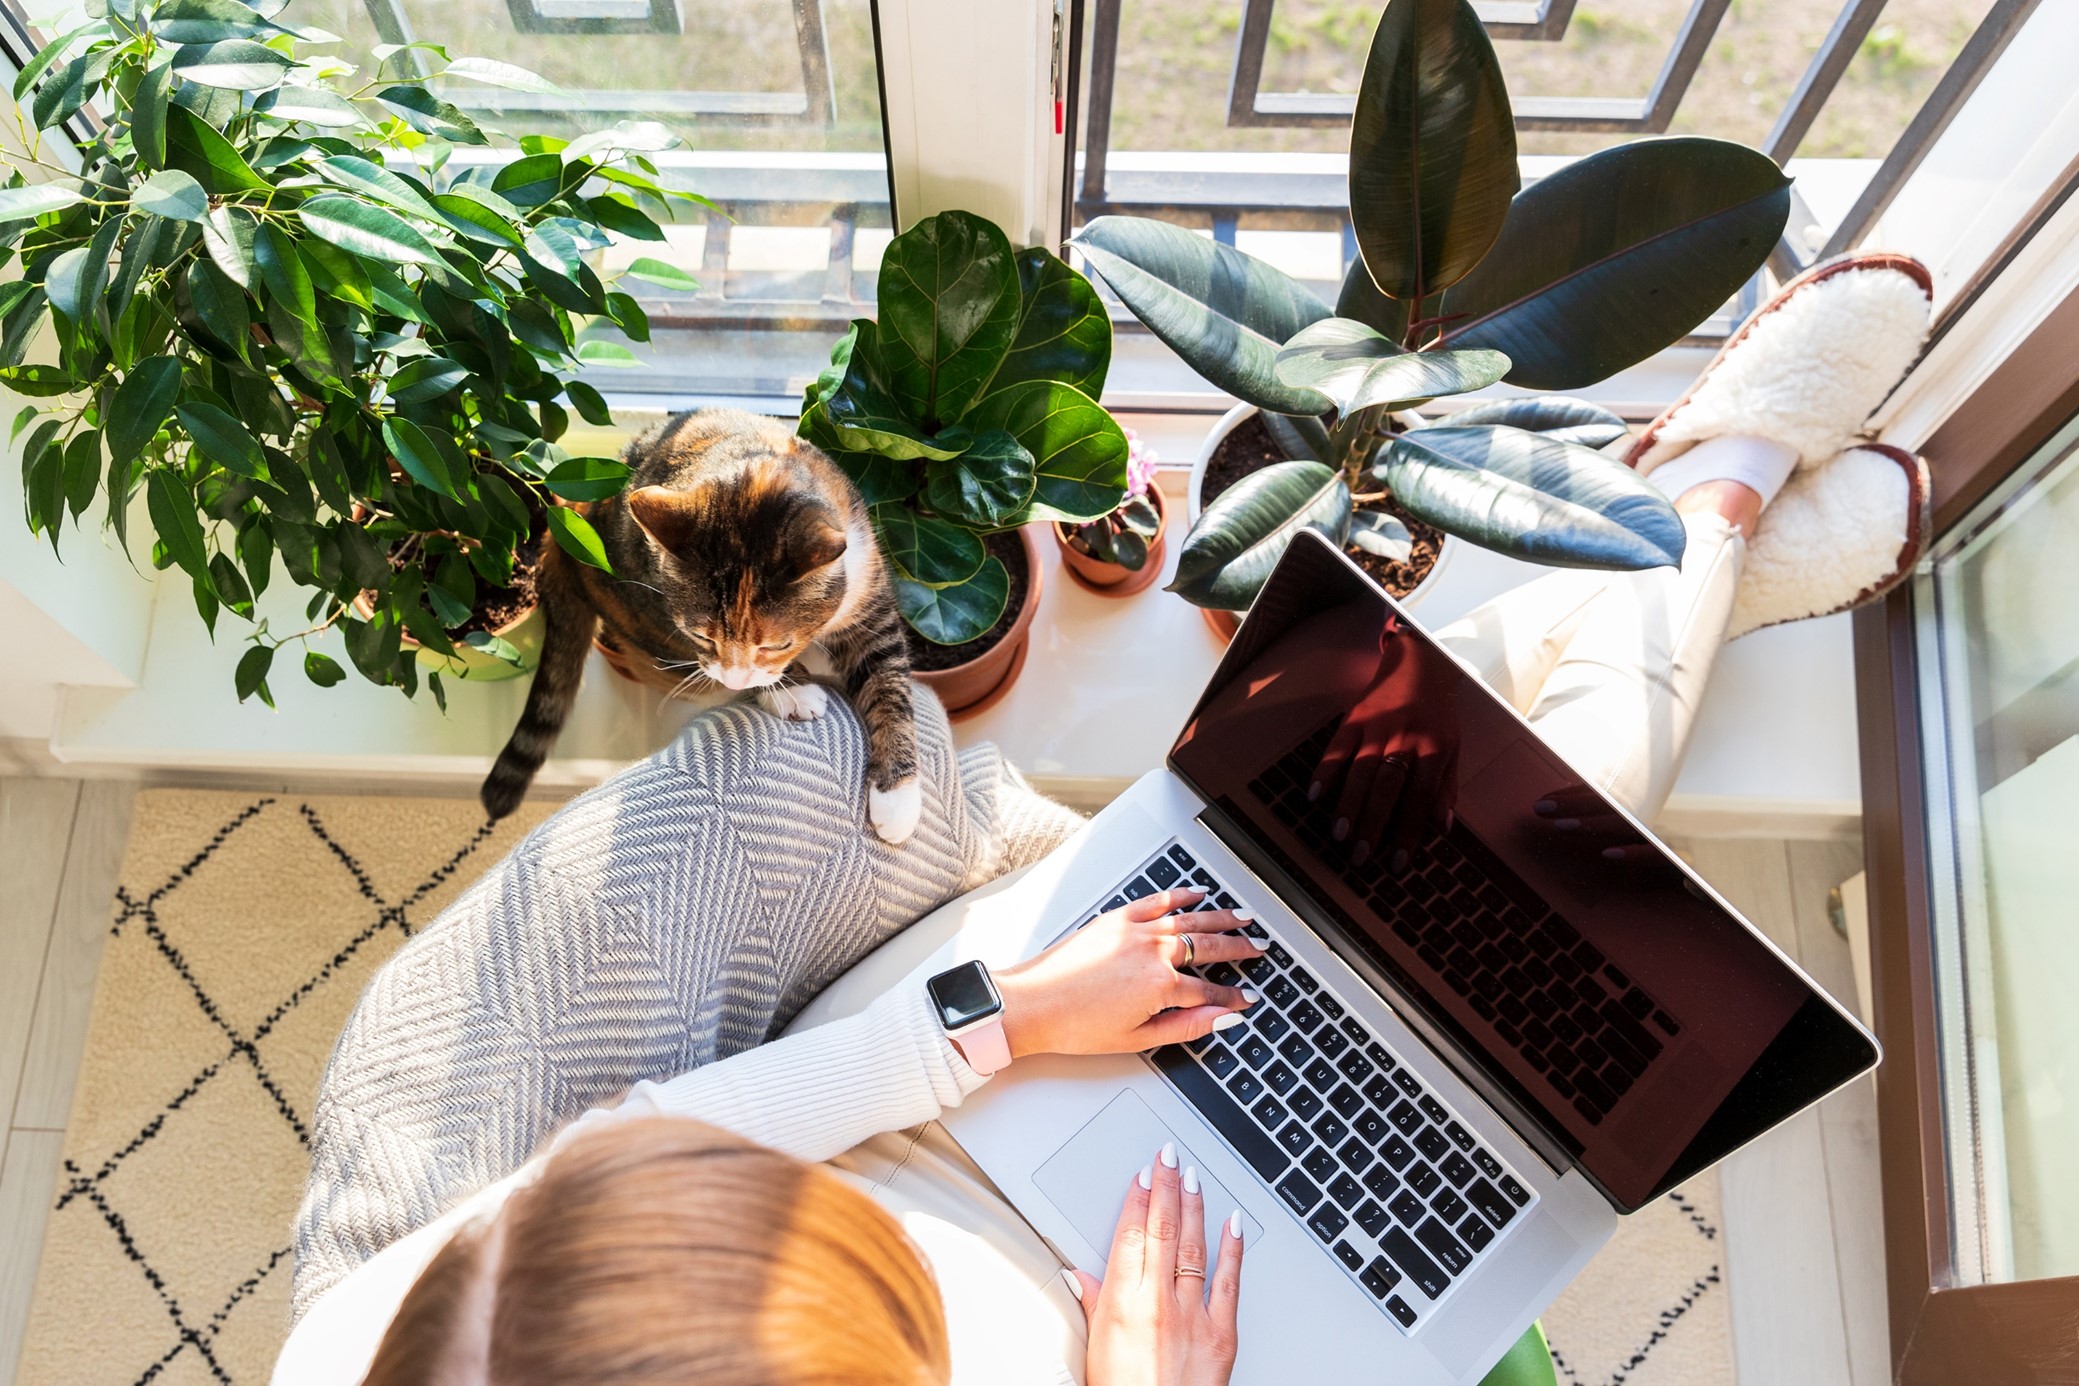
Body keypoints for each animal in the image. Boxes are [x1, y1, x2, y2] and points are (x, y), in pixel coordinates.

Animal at [482, 409, 923, 847]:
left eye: (777, 645)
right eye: (702, 636)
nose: (735, 676)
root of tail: (561, 532)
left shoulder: (871, 601)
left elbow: (889, 684)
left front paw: (897, 797)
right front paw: (790, 691)